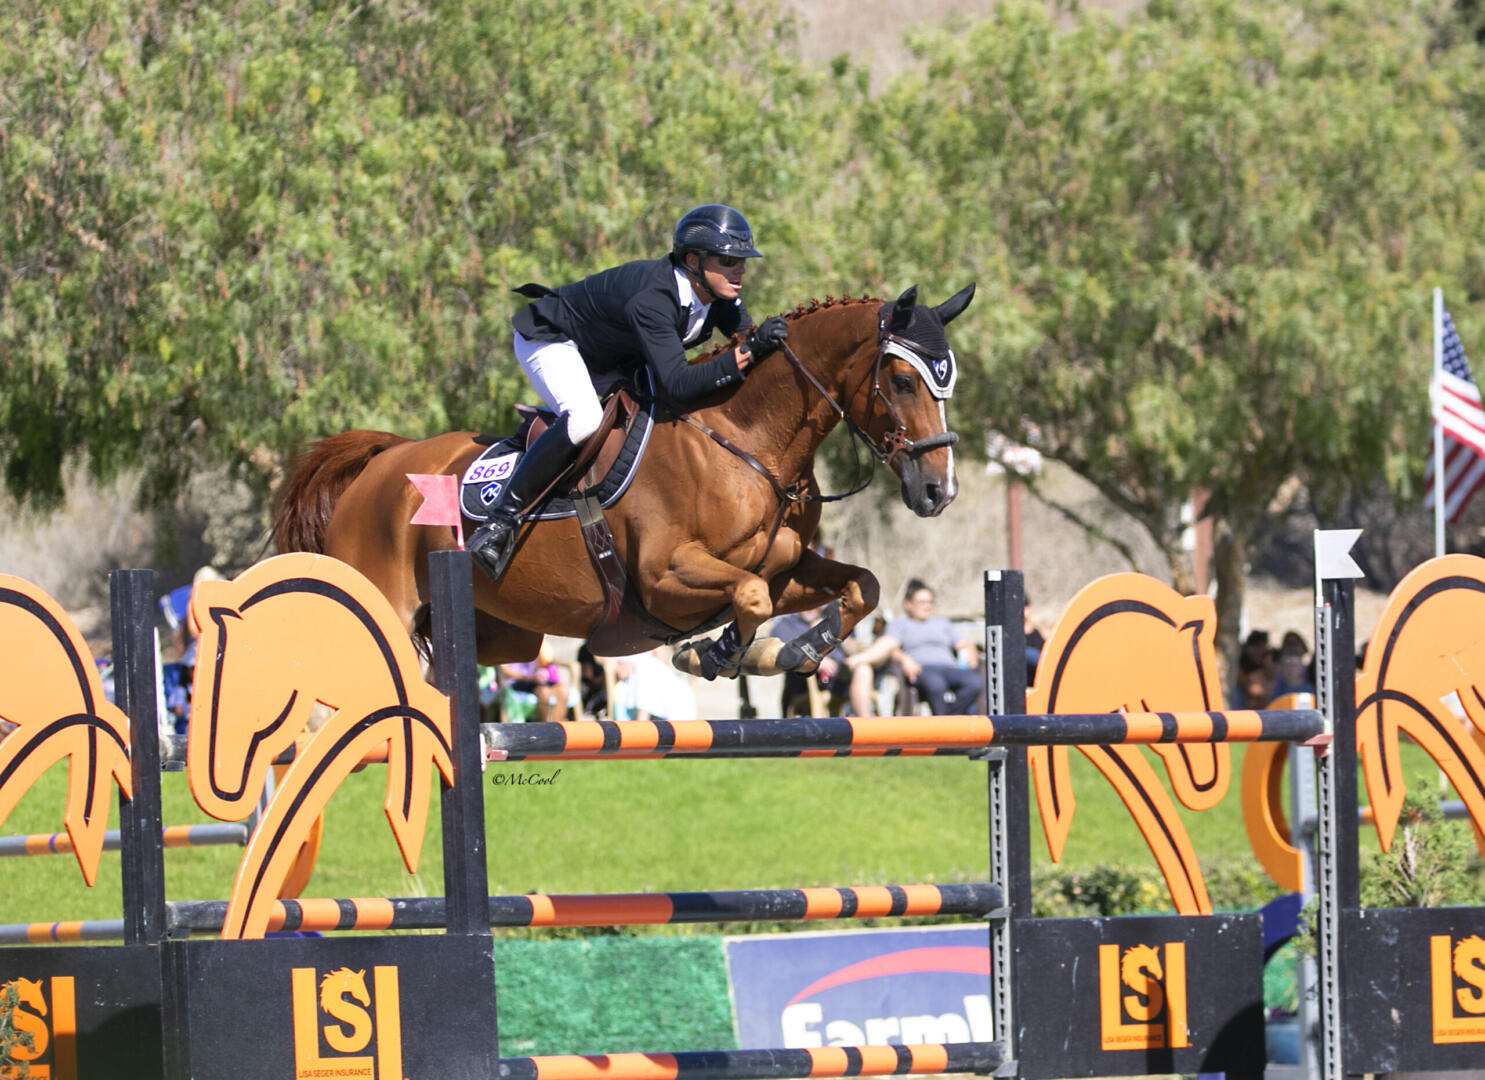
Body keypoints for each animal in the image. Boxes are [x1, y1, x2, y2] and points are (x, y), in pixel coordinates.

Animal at [274, 283, 980, 680]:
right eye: (904, 380)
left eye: (948, 379)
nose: (939, 491)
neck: (746, 441)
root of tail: (381, 463)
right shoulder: (665, 575)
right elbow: (751, 594)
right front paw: (717, 655)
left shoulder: (789, 562)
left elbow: (855, 584)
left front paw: (783, 655)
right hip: (384, 602)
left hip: (504, 634)